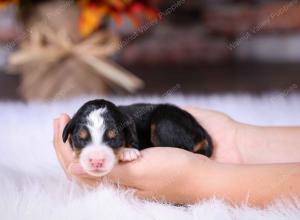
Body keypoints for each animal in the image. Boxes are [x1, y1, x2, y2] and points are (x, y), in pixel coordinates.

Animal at [63, 99, 213, 177]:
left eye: (114, 138)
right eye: (81, 138)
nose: (96, 161)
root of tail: (200, 130)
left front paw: (127, 152)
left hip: (164, 123)